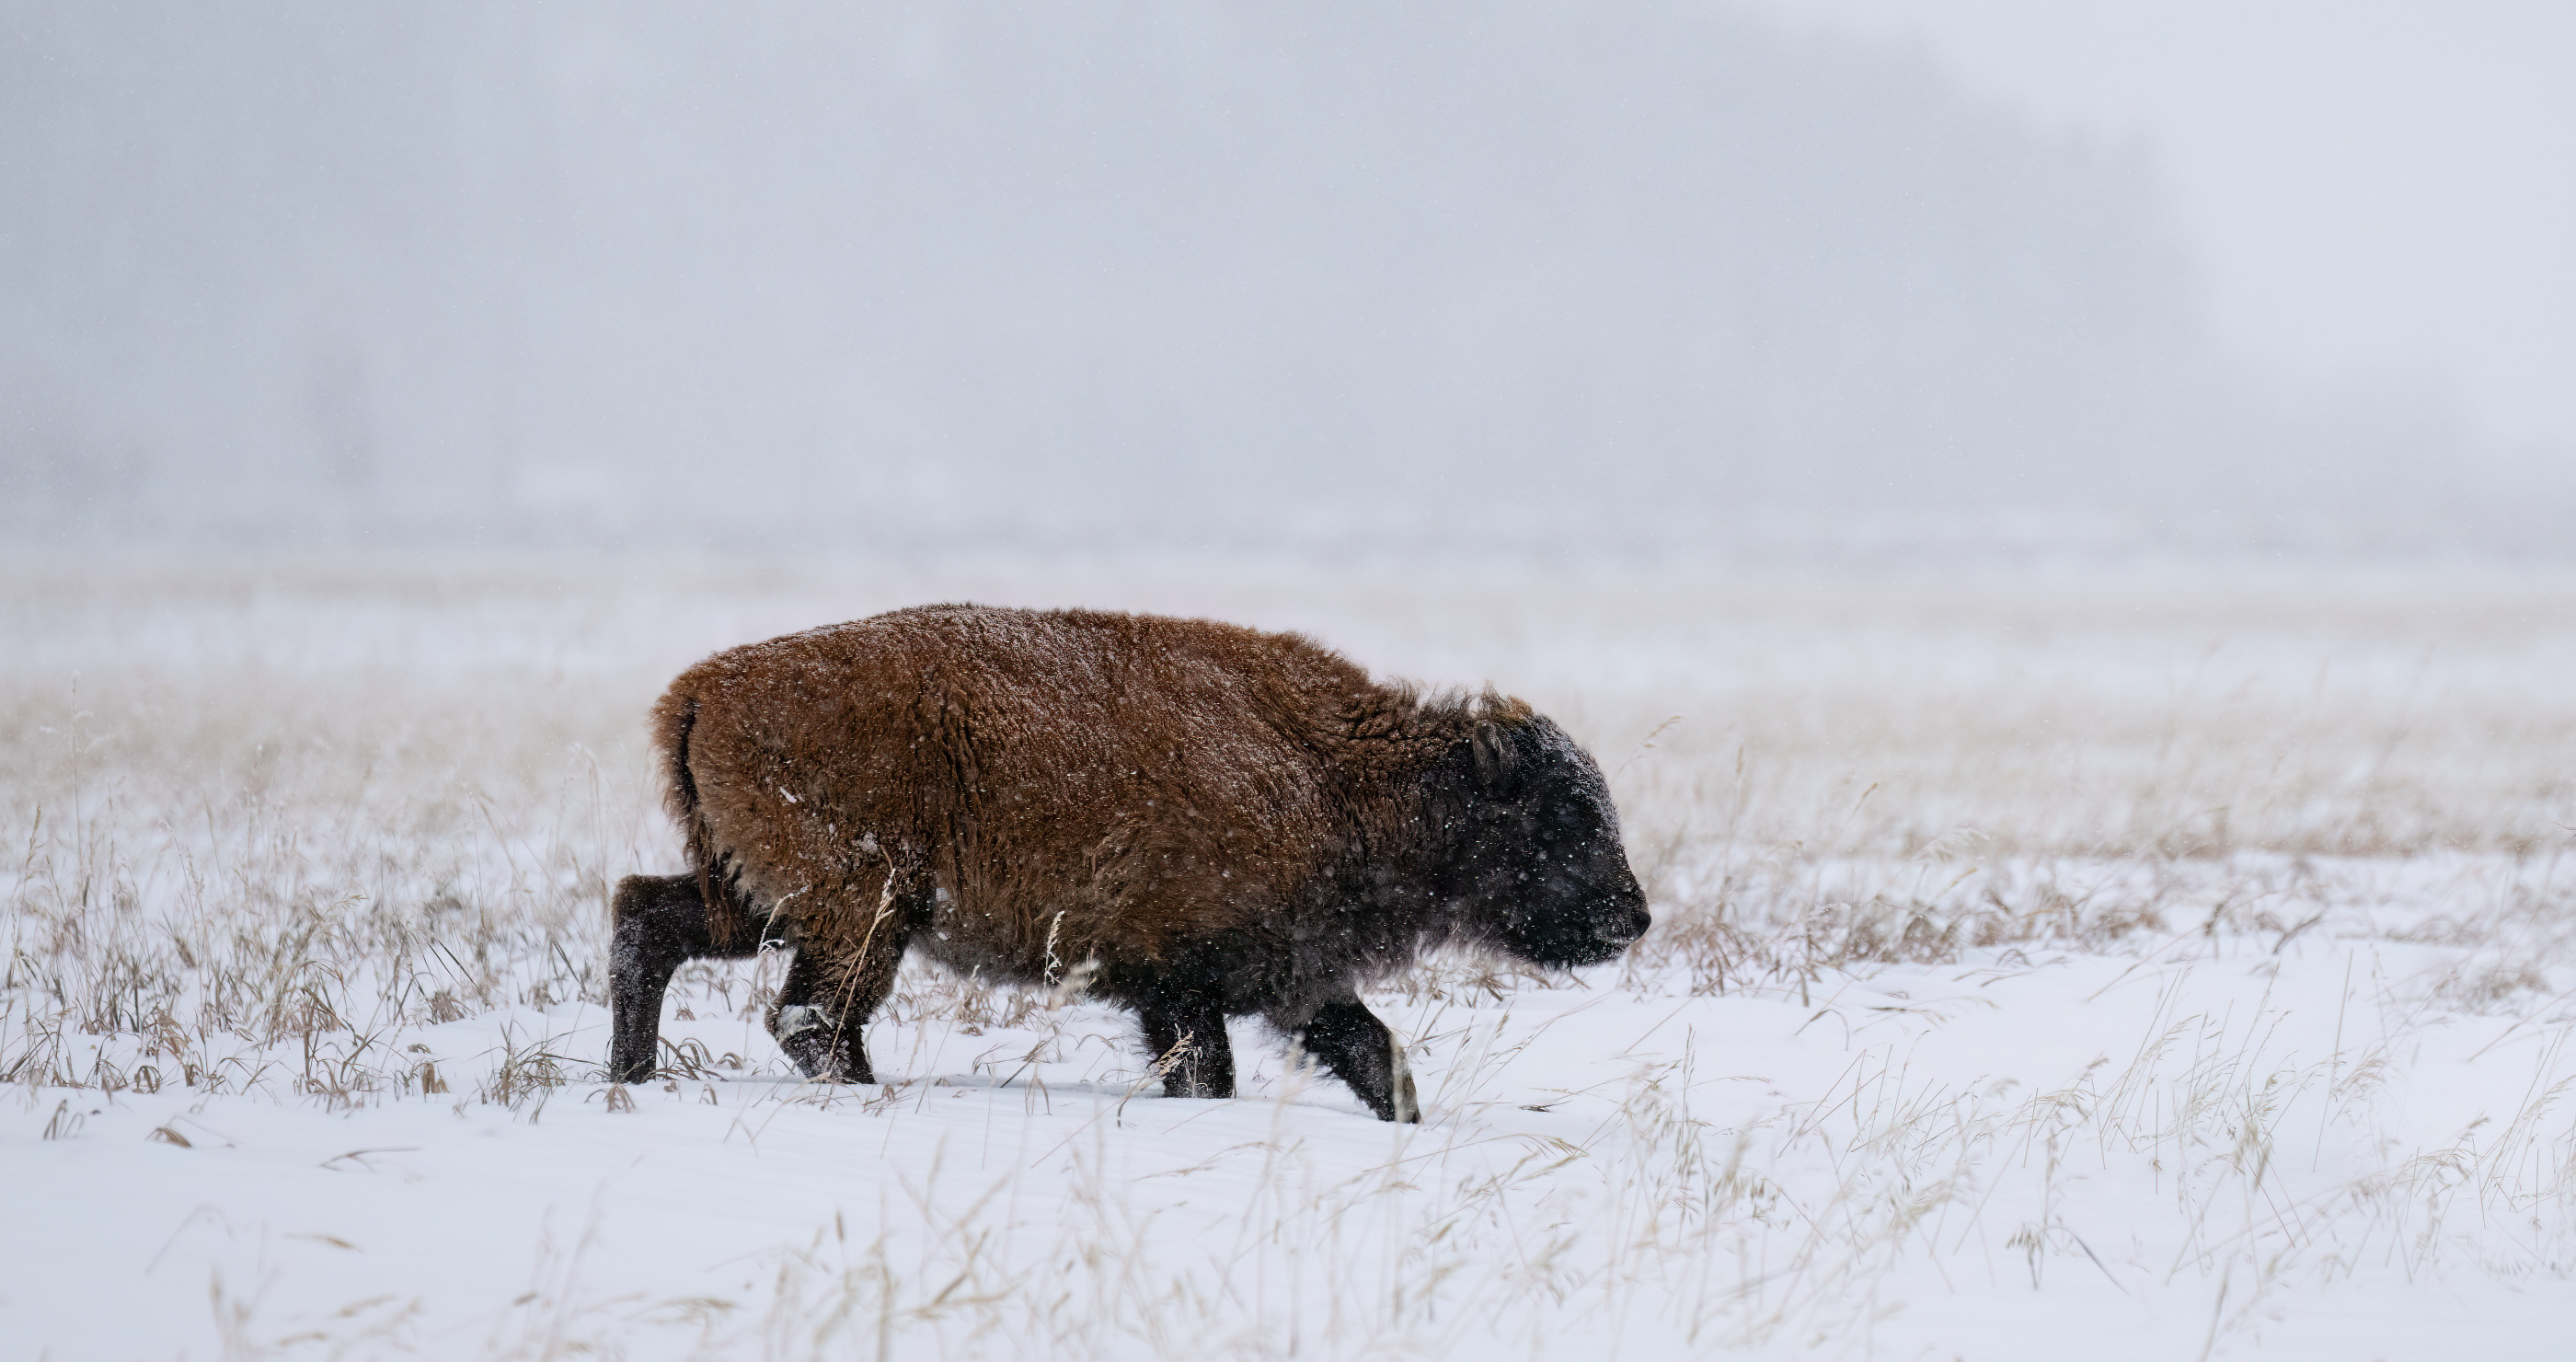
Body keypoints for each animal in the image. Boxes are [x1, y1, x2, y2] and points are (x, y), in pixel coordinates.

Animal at [605, 602, 1649, 1117]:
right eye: (1559, 819)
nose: (1633, 917)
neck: (1337, 773)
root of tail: (701, 688)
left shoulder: (1291, 981)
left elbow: (1374, 1055)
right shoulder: (1181, 985)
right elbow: (1213, 1072)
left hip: (754, 901)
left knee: (647, 921)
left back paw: (631, 1079)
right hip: (860, 911)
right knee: (812, 1016)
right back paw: (863, 1093)